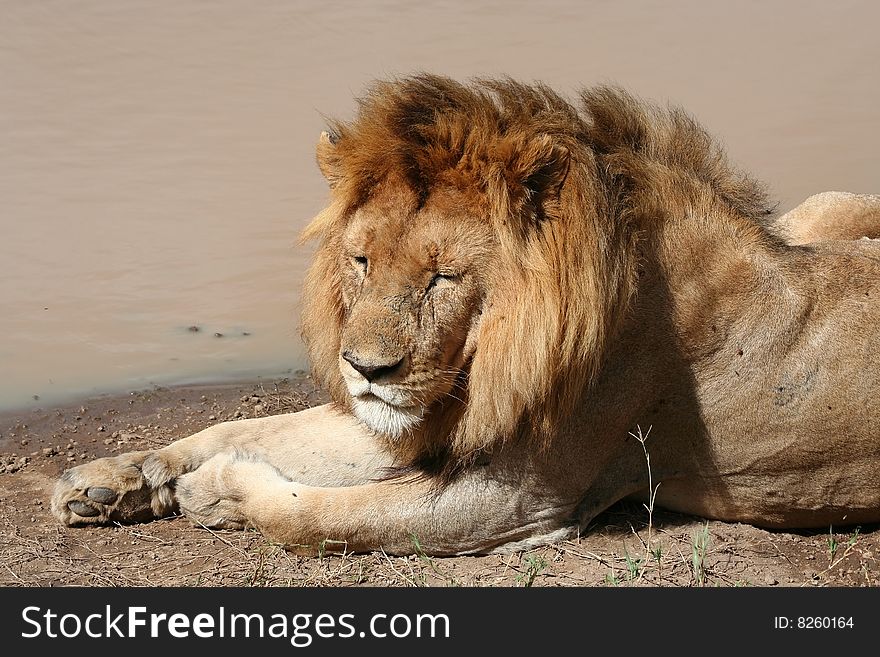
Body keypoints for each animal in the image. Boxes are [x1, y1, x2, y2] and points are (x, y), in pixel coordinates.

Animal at [49, 75, 880, 552]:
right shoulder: (422, 420)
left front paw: (216, 491)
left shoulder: (520, 497)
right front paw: (114, 478)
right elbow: (246, 428)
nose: (367, 369)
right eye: (361, 260)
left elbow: (316, 514)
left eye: (444, 276)